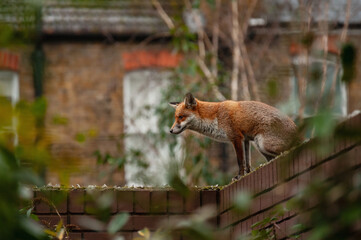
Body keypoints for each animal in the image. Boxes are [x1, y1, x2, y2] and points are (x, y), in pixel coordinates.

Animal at [170, 93, 300, 181]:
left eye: (180, 117)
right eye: (175, 117)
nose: (170, 130)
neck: (216, 117)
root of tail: (299, 132)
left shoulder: (236, 138)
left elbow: (240, 161)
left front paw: (239, 176)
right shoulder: (246, 139)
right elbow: (247, 162)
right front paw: (248, 173)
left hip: (262, 143)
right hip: (260, 146)